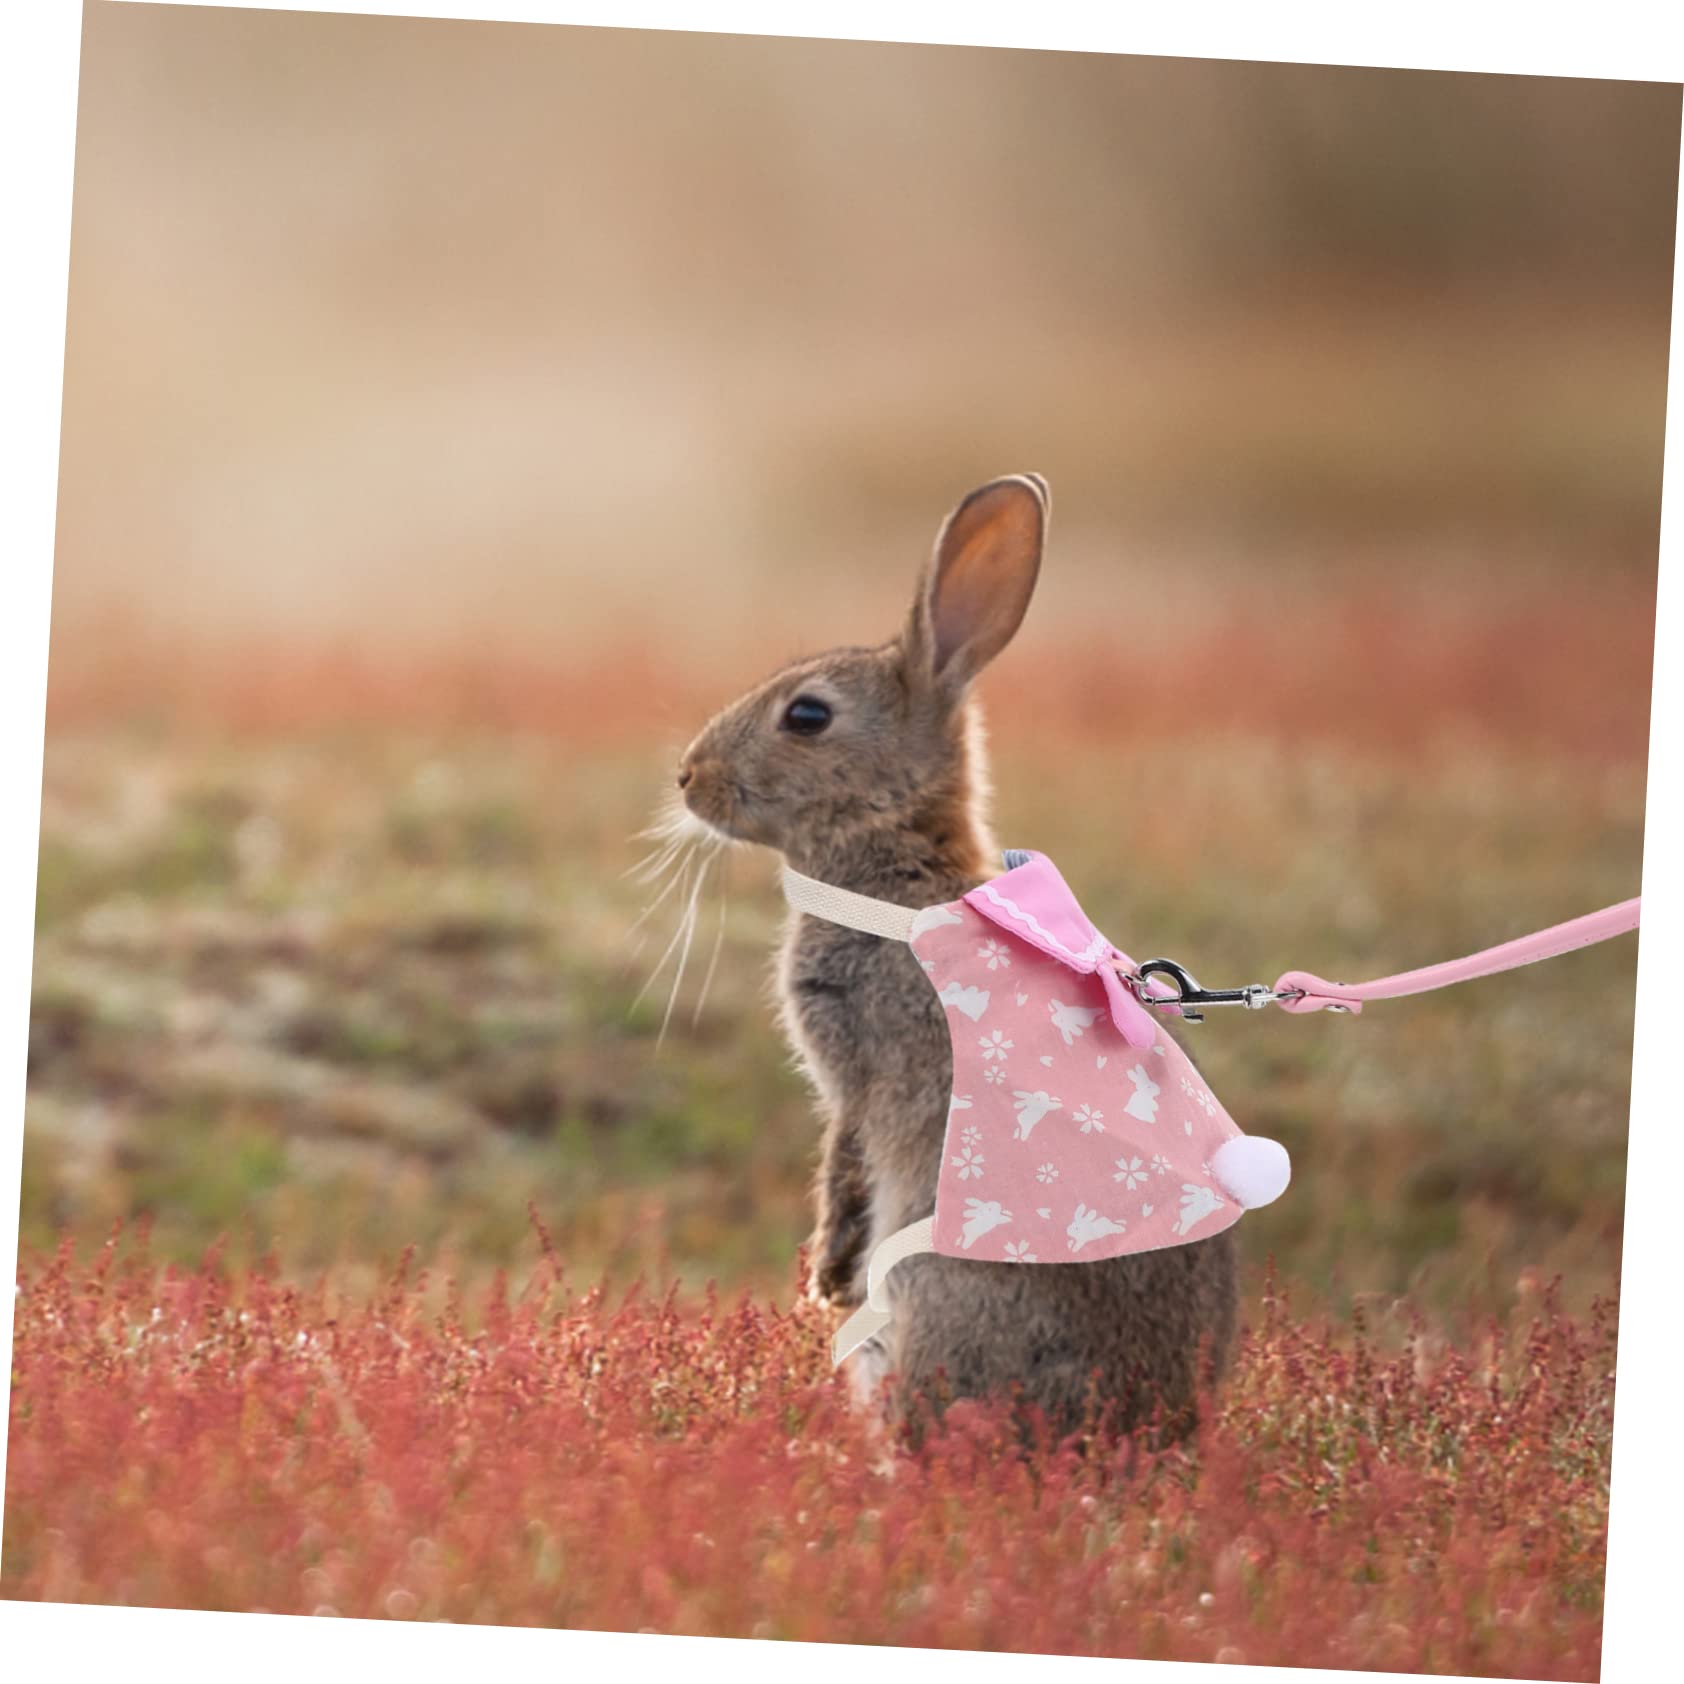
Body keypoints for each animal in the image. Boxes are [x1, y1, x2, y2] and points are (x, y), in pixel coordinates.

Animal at [675, 473, 1237, 1441]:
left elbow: (846, 1160)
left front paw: (825, 1274)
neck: (893, 855)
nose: (687, 777)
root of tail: (1137, 1426)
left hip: (940, 1304)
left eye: (807, 715)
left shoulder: (860, 1072)